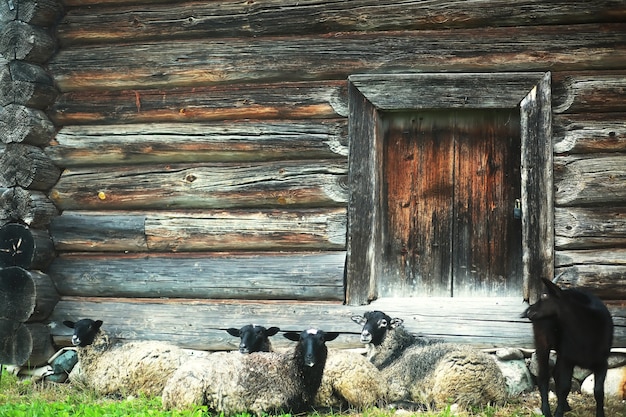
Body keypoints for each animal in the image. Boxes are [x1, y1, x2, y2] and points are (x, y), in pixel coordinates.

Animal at [161, 328, 336, 412]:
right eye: (301, 339)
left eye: (322, 339)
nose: (309, 358)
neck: (290, 368)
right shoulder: (265, 404)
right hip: (189, 400)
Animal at [352, 310, 508, 408]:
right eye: (364, 320)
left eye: (383, 323)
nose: (365, 334)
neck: (395, 352)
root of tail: (497, 389)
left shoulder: (396, 388)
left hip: (449, 386)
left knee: (437, 406)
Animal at [520, 276, 612, 416]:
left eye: (545, 296)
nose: (528, 311)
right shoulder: (568, 359)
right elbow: (565, 387)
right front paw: (557, 413)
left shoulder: (602, 362)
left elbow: (599, 391)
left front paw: (600, 414)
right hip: (543, 341)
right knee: (543, 376)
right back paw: (546, 410)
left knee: (555, 373)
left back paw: (565, 406)